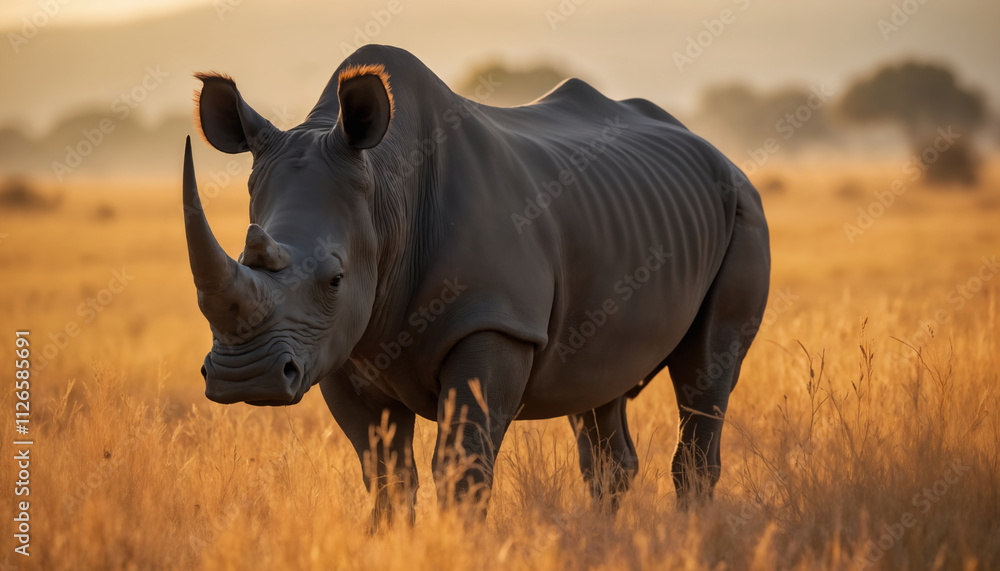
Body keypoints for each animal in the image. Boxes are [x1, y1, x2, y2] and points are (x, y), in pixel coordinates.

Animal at [182, 44, 770, 525]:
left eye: (334, 279)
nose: (246, 378)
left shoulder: (496, 321)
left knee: (705, 370)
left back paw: (691, 533)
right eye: (242, 257)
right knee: (599, 385)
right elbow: (386, 471)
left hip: (744, 208)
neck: (387, 188)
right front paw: (390, 542)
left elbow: (463, 466)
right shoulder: (340, 348)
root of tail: (716, 152)